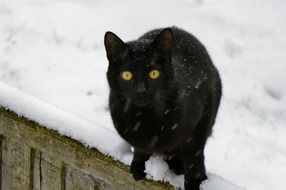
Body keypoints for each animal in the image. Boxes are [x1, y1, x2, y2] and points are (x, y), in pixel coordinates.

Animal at [104, 27, 222, 190]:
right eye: (126, 75)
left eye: (154, 73)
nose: (141, 90)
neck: (144, 117)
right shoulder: (138, 139)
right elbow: (141, 148)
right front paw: (139, 166)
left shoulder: (199, 123)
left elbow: (194, 155)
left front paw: (196, 183)